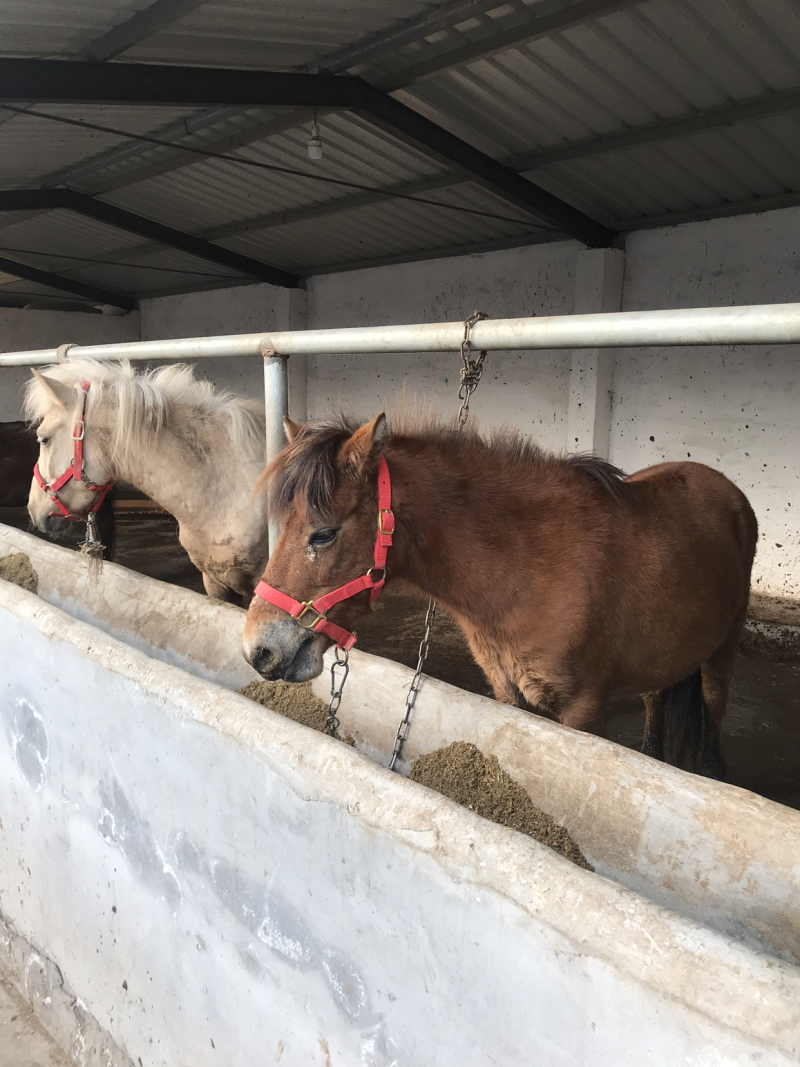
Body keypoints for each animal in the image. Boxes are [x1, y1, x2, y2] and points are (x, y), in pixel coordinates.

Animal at [242, 412, 758, 779]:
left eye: (323, 533)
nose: (257, 650)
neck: (533, 569)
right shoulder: (506, 692)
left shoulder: (585, 709)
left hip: (722, 651)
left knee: (714, 706)